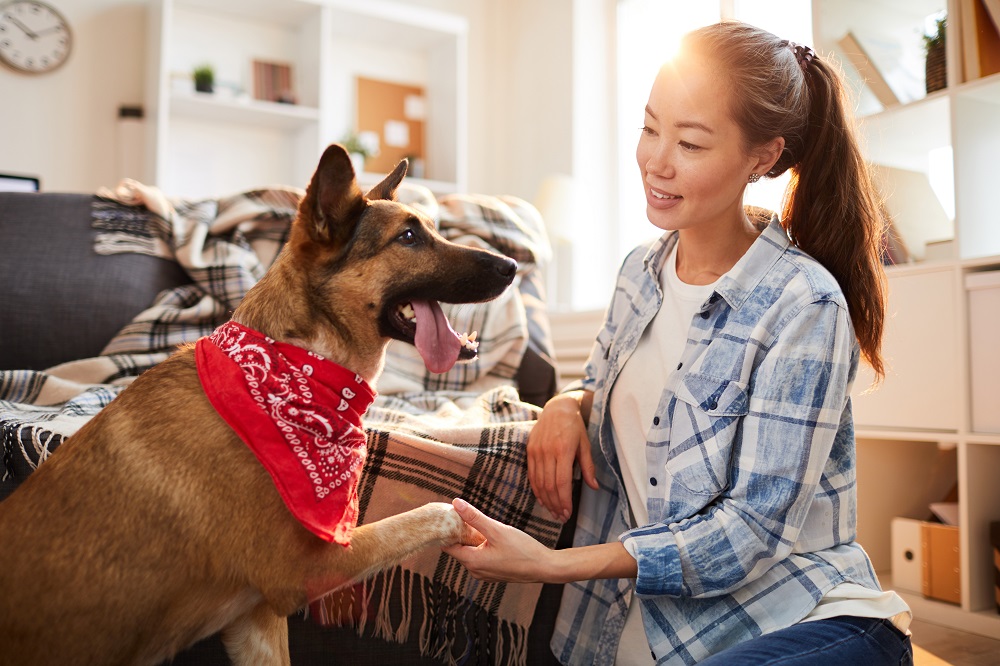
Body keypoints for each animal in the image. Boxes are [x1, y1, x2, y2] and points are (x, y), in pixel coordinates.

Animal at [0, 145, 516, 664]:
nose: (513, 266)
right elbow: (438, 510)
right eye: (408, 237)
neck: (294, 365)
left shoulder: (256, 620)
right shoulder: (304, 567)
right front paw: (474, 529)